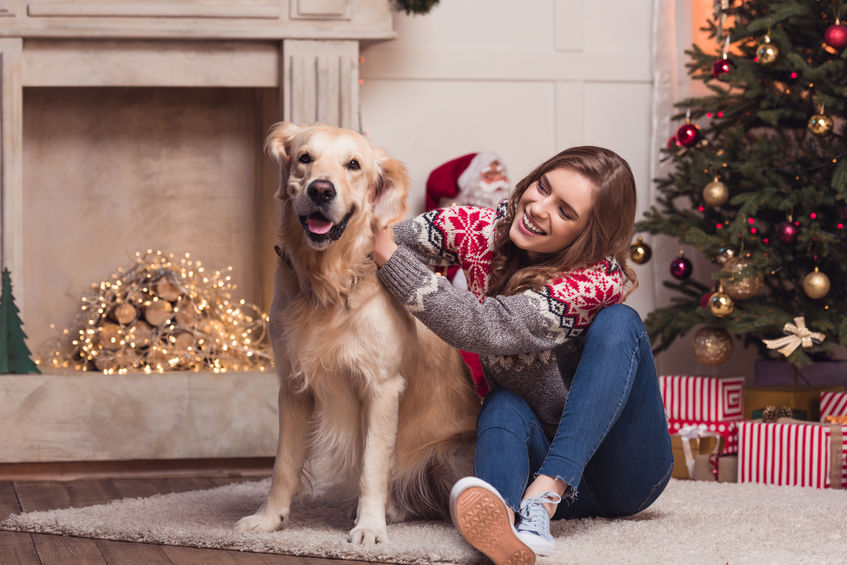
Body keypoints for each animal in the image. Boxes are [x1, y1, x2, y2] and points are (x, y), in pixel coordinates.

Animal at [235, 122, 480, 540]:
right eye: (305, 158)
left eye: (354, 165)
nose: (321, 189)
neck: (328, 284)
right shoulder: (293, 385)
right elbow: (284, 465)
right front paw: (268, 518)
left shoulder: (382, 387)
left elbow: (372, 467)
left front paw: (369, 526)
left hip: (452, 455)